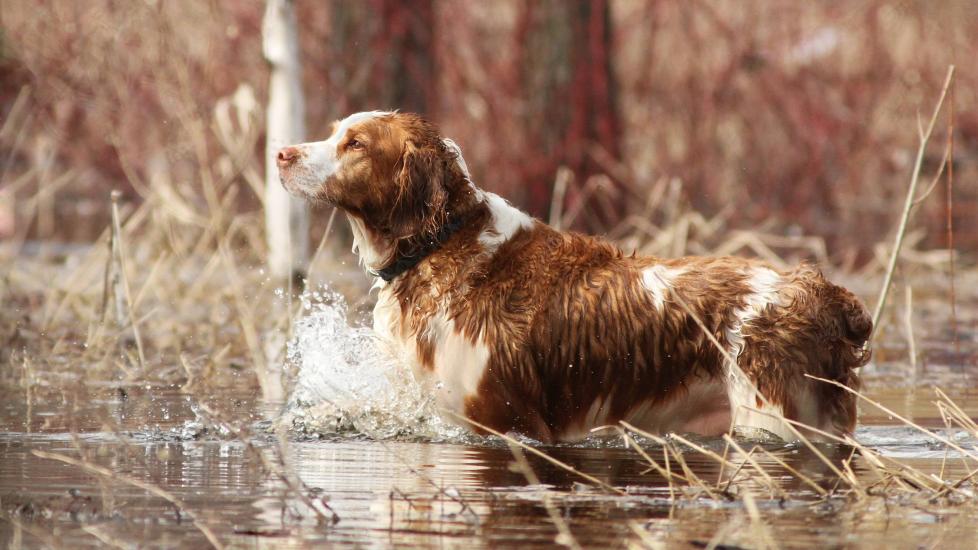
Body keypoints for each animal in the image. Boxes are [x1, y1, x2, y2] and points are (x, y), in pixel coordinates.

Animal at [276, 111, 868, 444]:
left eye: (356, 144)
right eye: (333, 134)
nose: (280, 152)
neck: (440, 246)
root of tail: (827, 293)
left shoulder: (505, 420)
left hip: (776, 415)